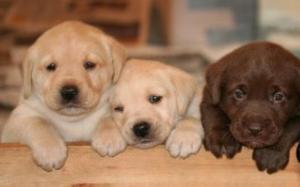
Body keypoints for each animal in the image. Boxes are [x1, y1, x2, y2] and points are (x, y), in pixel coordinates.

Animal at [0, 20, 126, 171]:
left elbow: (108, 117)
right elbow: (39, 123)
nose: (69, 91)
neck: (73, 120)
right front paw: (50, 150)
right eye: (51, 66)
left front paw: (109, 138)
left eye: (89, 64)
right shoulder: (18, 120)